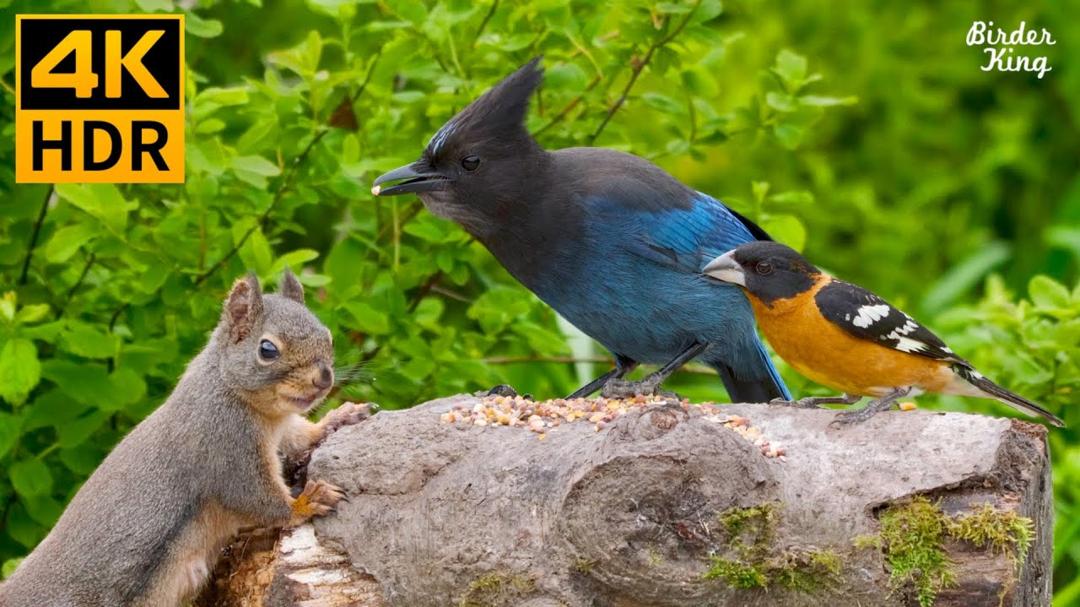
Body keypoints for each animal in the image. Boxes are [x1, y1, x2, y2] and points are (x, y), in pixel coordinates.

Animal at [0, 271, 368, 607]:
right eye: (267, 349)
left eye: (328, 337)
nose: (323, 379)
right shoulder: (226, 446)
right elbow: (258, 499)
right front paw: (305, 502)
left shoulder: (281, 428)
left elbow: (299, 437)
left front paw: (338, 418)